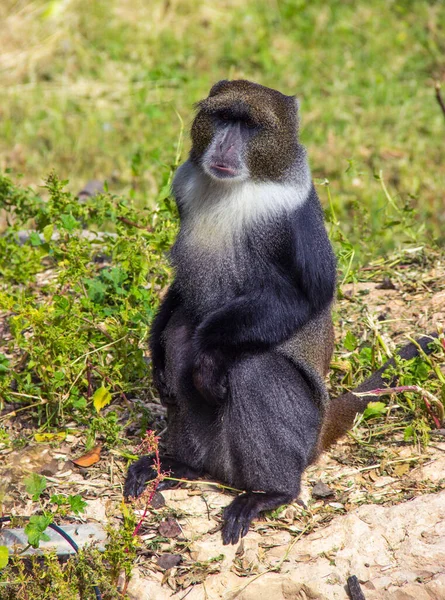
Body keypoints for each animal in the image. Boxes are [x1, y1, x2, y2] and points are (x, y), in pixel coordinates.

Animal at [124, 81, 438, 548]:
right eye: (223, 118)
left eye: (250, 125)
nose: (225, 144)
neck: (239, 188)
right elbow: (180, 296)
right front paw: (157, 359)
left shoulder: (291, 215)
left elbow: (307, 296)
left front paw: (209, 359)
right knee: (181, 331)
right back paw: (185, 465)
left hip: (301, 429)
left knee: (255, 369)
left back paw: (270, 491)